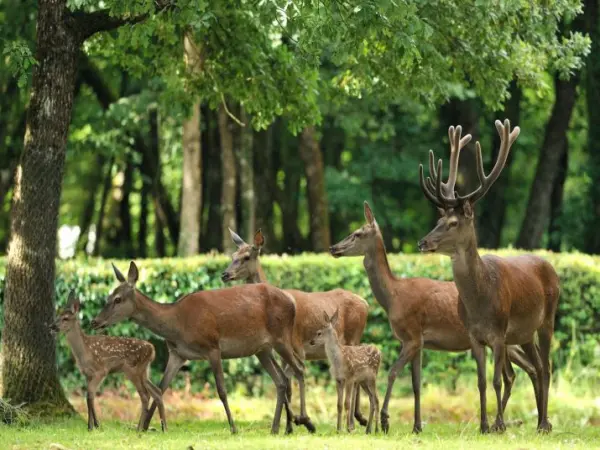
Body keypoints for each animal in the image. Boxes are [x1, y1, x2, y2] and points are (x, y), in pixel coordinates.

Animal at [49, 292, 165, 432]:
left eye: (65, 318)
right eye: (57, 316)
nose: (52, 326)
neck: (85, 351)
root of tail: (152, 349)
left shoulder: (101, 371)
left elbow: (90, 395)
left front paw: (93, 426)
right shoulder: (87, 374)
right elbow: (90, 396)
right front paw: (93, 425)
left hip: (133, 370)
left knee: (145, 395)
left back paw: (139, 429)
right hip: (144, 371)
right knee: (156, 391)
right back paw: (163, 427)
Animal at [91, 262, 308, 434]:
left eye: (118, 299)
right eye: (108, 296)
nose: (95, 321)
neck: (178, 325)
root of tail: (292, 301)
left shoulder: (212, 347)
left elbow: (221, 390)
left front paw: (233, 428)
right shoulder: (177, 354)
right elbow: (162, 387)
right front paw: (146, 426)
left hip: (282, 337)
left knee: (299, 369)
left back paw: (303, 421)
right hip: (262, 349)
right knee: (281, 381)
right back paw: (278, 428)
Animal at [221, 230, 370, 430]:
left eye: (246, 257)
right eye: (232, 255)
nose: (225, 274)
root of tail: (365, 303)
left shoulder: (297, 345)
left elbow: (292, 377)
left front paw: (300, 420)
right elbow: (288, 384)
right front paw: (288, 427)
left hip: (353, 336)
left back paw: (355, 420)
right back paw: (359, 417)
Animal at [330, 200, 540, 432]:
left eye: (357, 233)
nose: (333, 248)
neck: (394, 296)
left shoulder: (412, 336)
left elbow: (392, 372)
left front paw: (385, 420)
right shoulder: (419, 342)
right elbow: (416, 384)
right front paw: (416, 426)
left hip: (503, 338)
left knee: (521, 370)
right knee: (520, 371)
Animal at [418, 118, 556, 432]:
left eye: (453, 222)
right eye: (439, 219)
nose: (422, 242)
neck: (480, 302)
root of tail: (550, 266)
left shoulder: (499, 333)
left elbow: (496, 380)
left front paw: (499, 425)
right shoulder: (474, 336)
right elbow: (481, 382)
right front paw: (483, 424)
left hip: (547, 320)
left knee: (546, 367)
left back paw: (544, 423)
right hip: (524, 332)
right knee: (537, 366)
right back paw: (540, 421)